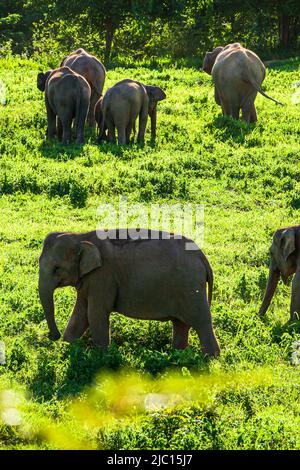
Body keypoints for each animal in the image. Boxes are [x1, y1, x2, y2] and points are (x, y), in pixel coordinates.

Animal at [38, 229, 220, 358]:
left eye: (56, 269)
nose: (53, 336)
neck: (81, 236)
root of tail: (203, 258)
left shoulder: (103, 277)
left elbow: (96, 314)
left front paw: (101, 358)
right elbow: (81, 313)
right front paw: (67, 348)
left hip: (191, 288)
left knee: (201, 322)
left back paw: (210, 361)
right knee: (181, 324)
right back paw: (177, 356)